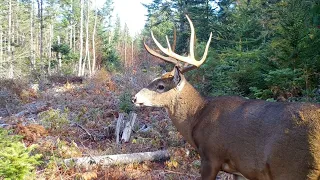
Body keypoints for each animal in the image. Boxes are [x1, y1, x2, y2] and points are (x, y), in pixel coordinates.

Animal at [132, 15, 320, 180]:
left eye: (160, 86)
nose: (134, 98)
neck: (197, 116)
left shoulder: (211, 157)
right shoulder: (239, 169)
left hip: (297, 169)